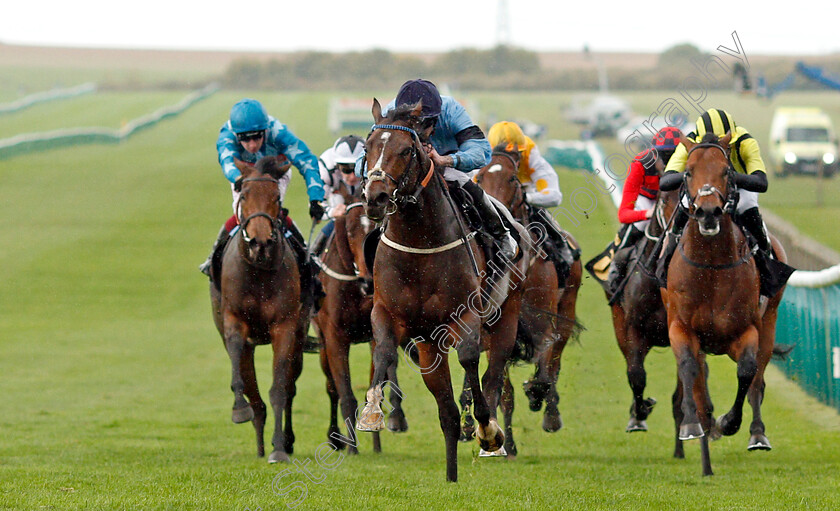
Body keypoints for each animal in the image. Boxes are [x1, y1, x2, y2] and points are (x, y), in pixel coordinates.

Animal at [210, 155, 312, 464]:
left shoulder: (285, 327)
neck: (258, 271)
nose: (260, 242)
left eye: (276, 197)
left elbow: (280, 388)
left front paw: (279, 448)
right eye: (243, 194)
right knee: (252, 386)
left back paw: (284, 441)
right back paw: (257, 436)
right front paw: (239, 408)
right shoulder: (234, 321)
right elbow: (240, 372)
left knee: (290, 386)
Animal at [314, 186, 408, 458]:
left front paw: (376, 437)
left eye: (375, 228)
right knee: (331, 387)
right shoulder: (334, 338)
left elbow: (375, 385)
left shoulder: (377, 334)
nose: (368, 282)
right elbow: (345, 393)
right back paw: (337, 439)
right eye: (348, 230)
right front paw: (352, 449)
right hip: (322, 346)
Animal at [358, 98, 528, 482]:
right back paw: (451, 475)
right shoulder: (388, 313)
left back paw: (490, 436)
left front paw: (486, 428)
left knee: (493, 375)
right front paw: (372, 412)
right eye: (367, 147)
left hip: (505, 318)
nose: (375, 197)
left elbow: (468, 359)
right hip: (428, 345)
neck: (420, 242)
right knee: (446, 411)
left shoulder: (466, 314)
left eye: (406, 150)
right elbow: (384, 352)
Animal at [472, 145, 584, 456]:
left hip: (567, 311)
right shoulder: (496, 332)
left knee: (554, 366)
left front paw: (536, 395)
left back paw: (550, 413)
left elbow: (545, 374)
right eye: (480, 176)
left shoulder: (544, 325)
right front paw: (506, 444)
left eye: (512, 178)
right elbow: (504, 392)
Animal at [664, 134, 788, 478]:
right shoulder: (681, 328)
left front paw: (730, 423)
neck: (710, 268)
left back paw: (757, 434)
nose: (708, 212)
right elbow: (689, 369)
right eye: (688, 171)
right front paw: (692, 426)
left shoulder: (745, 331)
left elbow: (747, 372)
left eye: (726, 171)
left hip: (769, 322)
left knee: (758, 378)